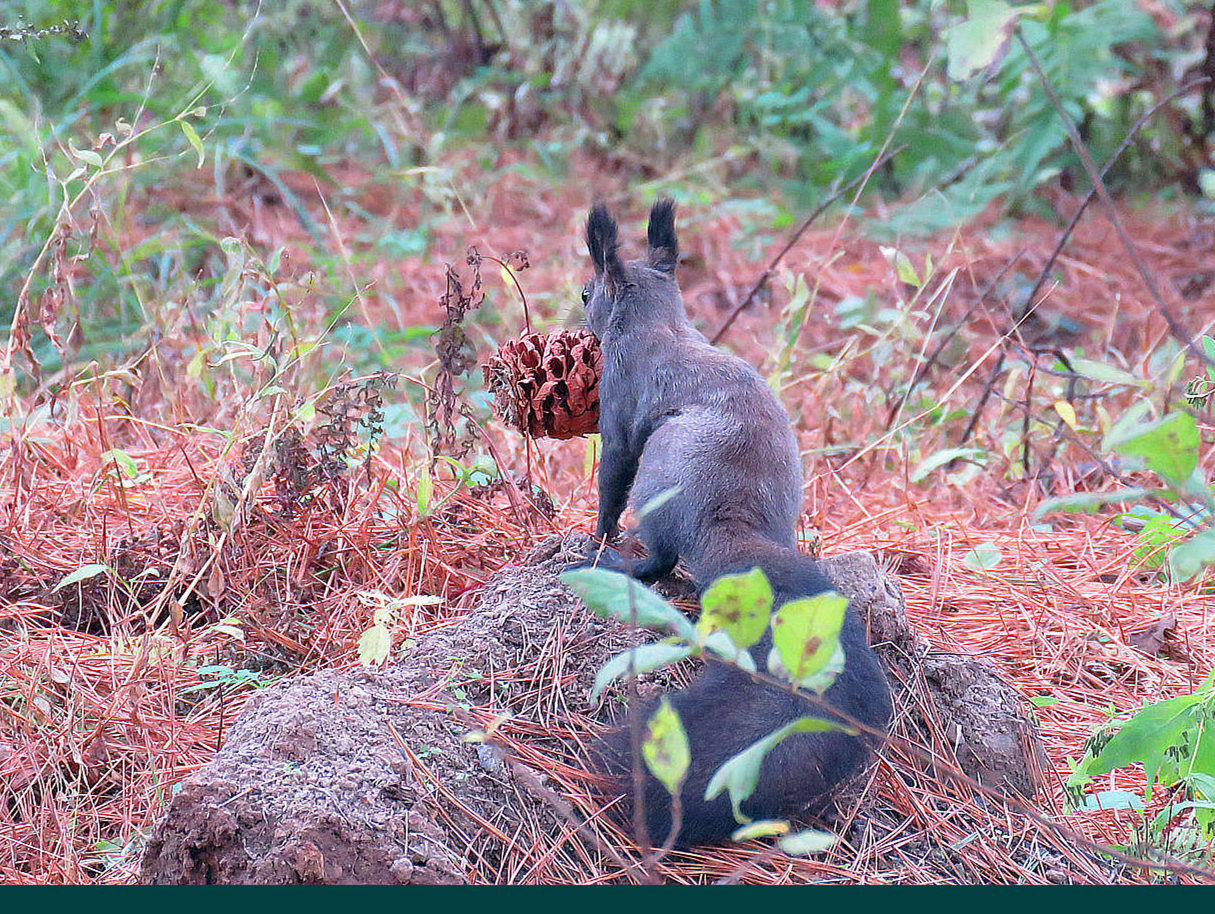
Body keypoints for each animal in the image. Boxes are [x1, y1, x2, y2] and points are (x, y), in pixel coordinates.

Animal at [578, 199, 894, 850]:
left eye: (590, 291)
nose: (578, 300)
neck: (658, 325)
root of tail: (734, 527)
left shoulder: (618, 406)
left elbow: (611, 476)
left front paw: (595, 535)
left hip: (661, 473)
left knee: (662, 558)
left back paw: (628, 562)